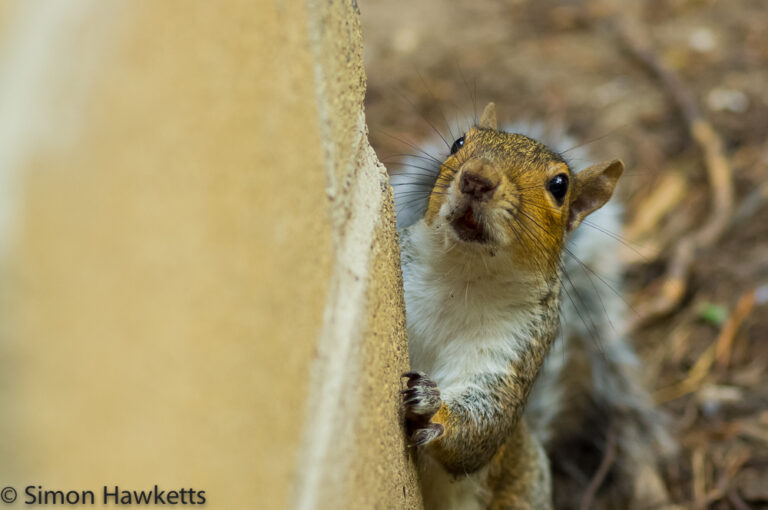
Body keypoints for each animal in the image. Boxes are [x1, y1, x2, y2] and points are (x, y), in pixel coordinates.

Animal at [392, 103, 676, 510]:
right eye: (459, 142)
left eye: (559, 186)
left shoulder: (513, 349)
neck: (462, 276)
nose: (477, 179)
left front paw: (431, 405)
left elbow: (482, 427)